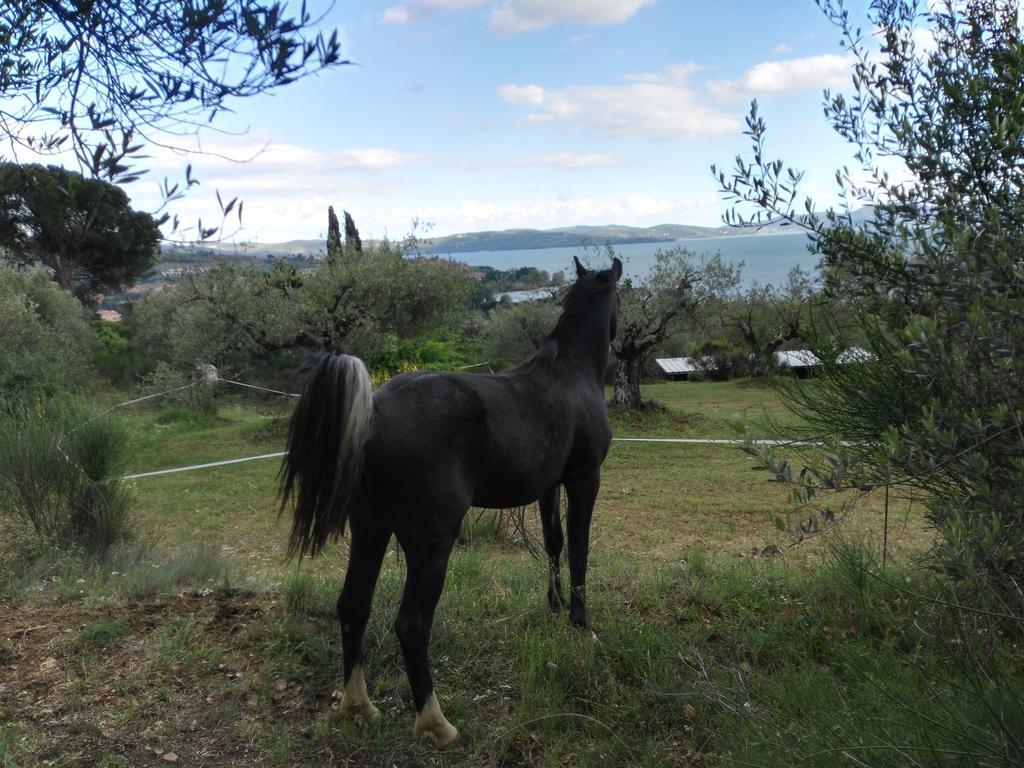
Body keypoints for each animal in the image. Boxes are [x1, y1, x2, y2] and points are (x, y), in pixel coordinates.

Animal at [276, 256, 618, 749]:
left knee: (353, 605)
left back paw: (358, 706)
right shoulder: (584, 480)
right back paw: (437, 724)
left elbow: (553, 543)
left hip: (371, 527)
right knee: (412, 624)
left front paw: (553, 607)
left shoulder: (548, 486)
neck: (570, 375)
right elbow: (579, 550)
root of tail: (373, 411)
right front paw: (579, 622)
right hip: (431, 543)